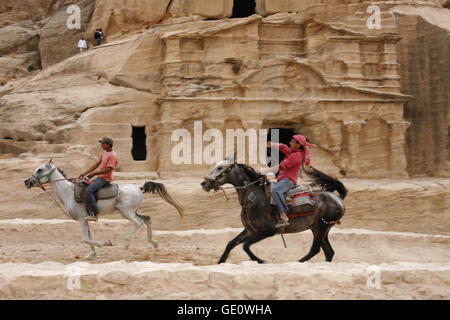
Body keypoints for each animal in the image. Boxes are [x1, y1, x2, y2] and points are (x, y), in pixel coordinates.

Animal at [201, 154, 348, 262]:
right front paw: (221, 261)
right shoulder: (249, 230)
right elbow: (231, 243)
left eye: (220, 168)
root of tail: (338, 199)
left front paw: (260, 261)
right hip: (319, 229)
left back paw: (298, 262)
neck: (254, 198)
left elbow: (245, 246)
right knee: (328, 252)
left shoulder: (267, 231)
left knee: (315, 249)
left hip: (321, 227)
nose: (204, 183)